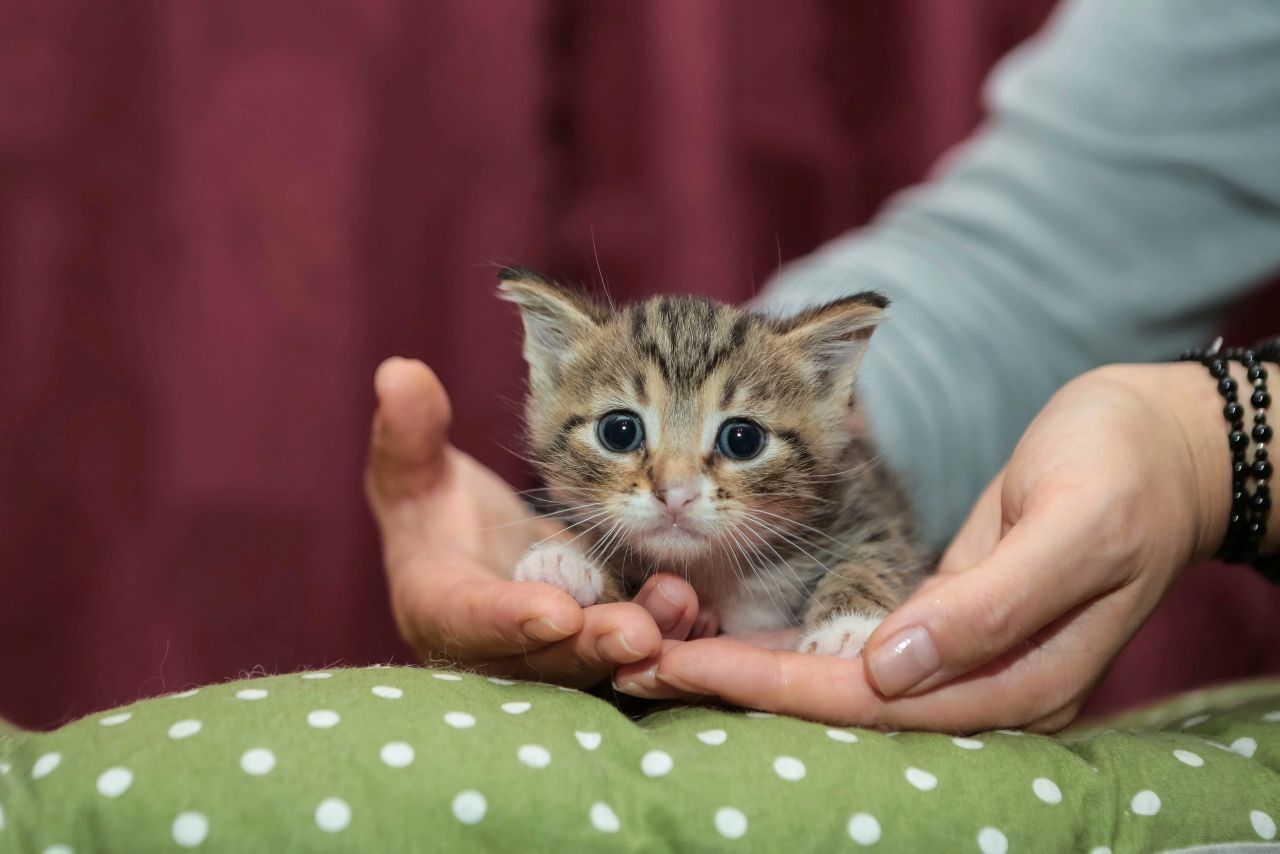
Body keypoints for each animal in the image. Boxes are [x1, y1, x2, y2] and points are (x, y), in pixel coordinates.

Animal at [499, 270, 931, 660]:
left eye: (742, 440)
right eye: (619, 432)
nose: (676, 494)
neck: (716, 572)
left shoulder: (868, 505)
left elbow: (877, 555)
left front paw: (847, 628)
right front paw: (568, 565)